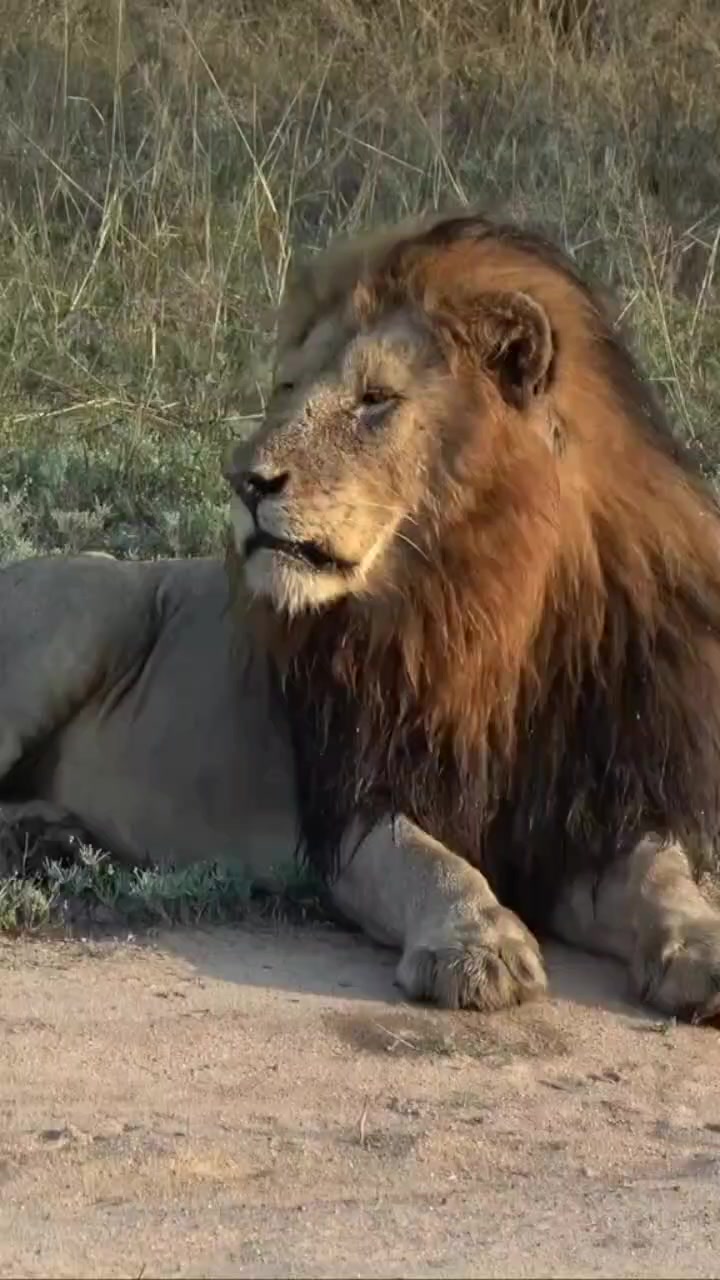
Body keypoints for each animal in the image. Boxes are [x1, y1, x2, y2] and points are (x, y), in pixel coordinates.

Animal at [3, 209, 720, 1023]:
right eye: (287, 388)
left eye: (375, 399)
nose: (244, 480)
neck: (481, 608)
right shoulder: (353, 806)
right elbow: (428, 864)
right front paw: (477, 943)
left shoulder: (588, 810)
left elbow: (661, 872)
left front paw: (701, 942)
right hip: (85, 607)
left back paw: (48, 832)